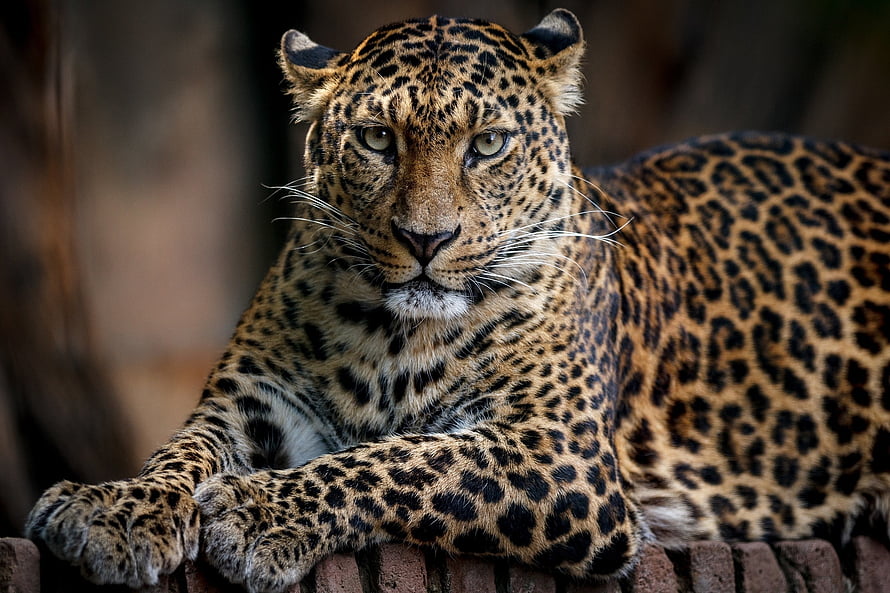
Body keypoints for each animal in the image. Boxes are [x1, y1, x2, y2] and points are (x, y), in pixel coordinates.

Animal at [25, 8, 890, 593]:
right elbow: (180, 452)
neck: (391, 335)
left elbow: (407, 459)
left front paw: (259, 510)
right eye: (378, 139)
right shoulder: (252, 402)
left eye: (489, 144)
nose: (426, 239)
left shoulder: (561, 453)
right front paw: (115, 508)